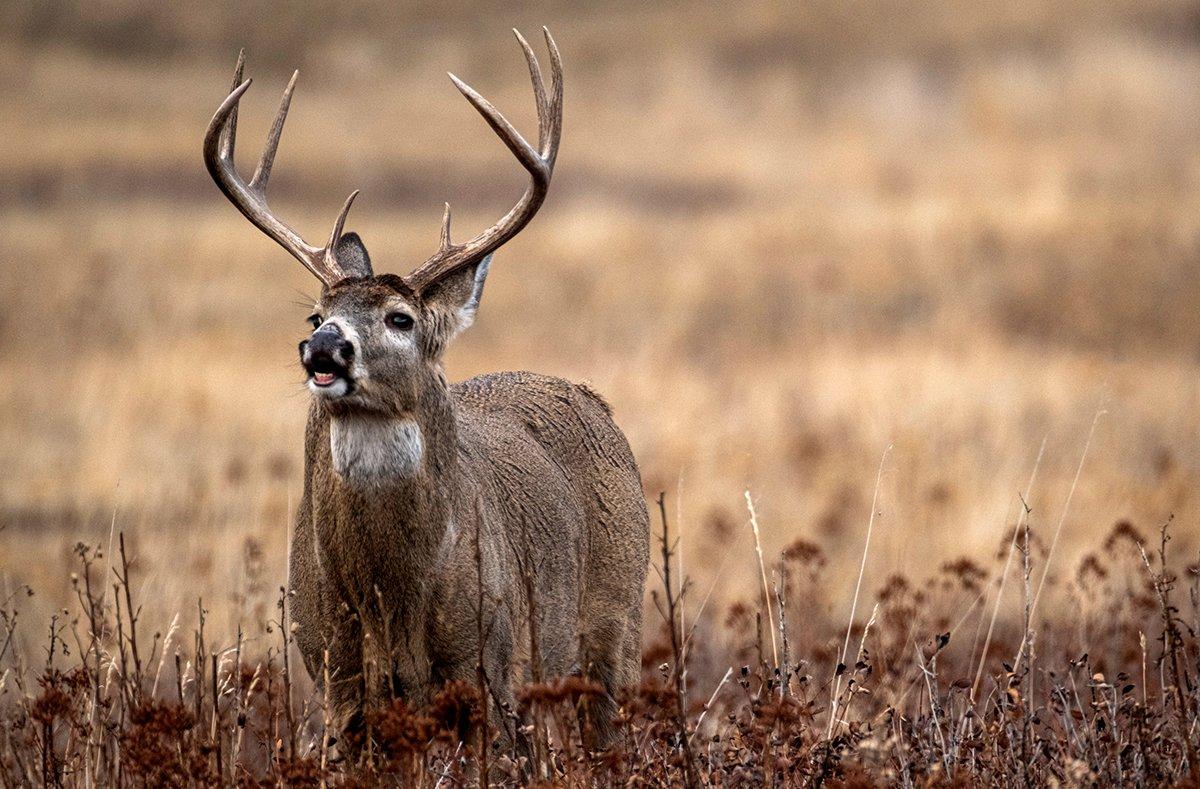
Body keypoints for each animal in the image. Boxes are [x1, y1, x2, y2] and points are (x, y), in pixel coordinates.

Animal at [206, 29, 652, 748]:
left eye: (400, 318)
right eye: (314, 314)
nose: (323, 348)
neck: (392, 602)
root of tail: (593, 399)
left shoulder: (486, 667)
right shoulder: (336, 680)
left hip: (617, 620)